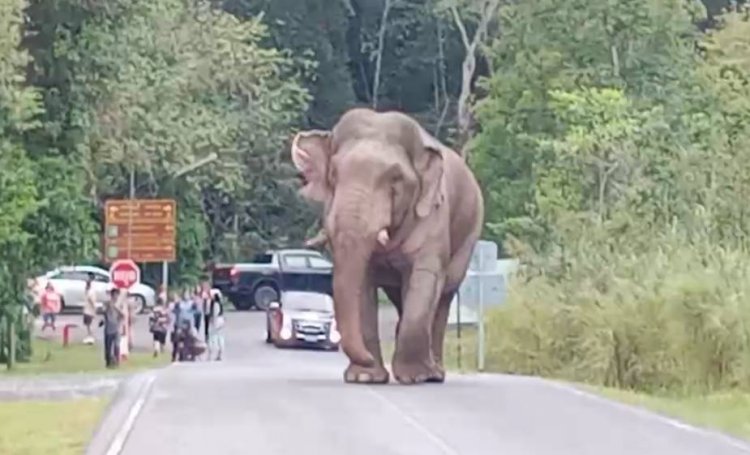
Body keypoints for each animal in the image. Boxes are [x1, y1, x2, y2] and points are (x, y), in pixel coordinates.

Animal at [290, 107, 484, 384]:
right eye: (333, 175)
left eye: (395, 178)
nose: (366, 358)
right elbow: (362, 286)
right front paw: (364, 377)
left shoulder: (433, 216)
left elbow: (425, 278)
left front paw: (414, 377)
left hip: (469, 235)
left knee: (443, 298)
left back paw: (435, 373)